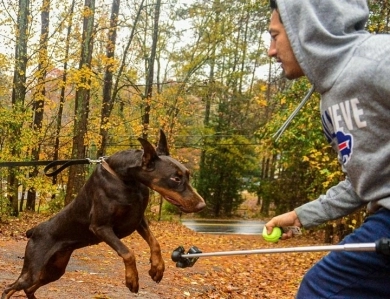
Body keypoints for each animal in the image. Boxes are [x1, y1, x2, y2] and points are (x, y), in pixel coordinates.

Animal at [1, 130, 206, 298]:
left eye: (187, 175)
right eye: (175, 178)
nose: (202, 205)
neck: (125, 178)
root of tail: (34, 231)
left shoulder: (138, 219)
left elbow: (155, 243)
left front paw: (157, 268)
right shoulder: (100, 227)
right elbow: (128, 252)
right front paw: (132, 279)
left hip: (55, 269)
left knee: (29, 288)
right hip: (33, 267)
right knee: (11, 288)